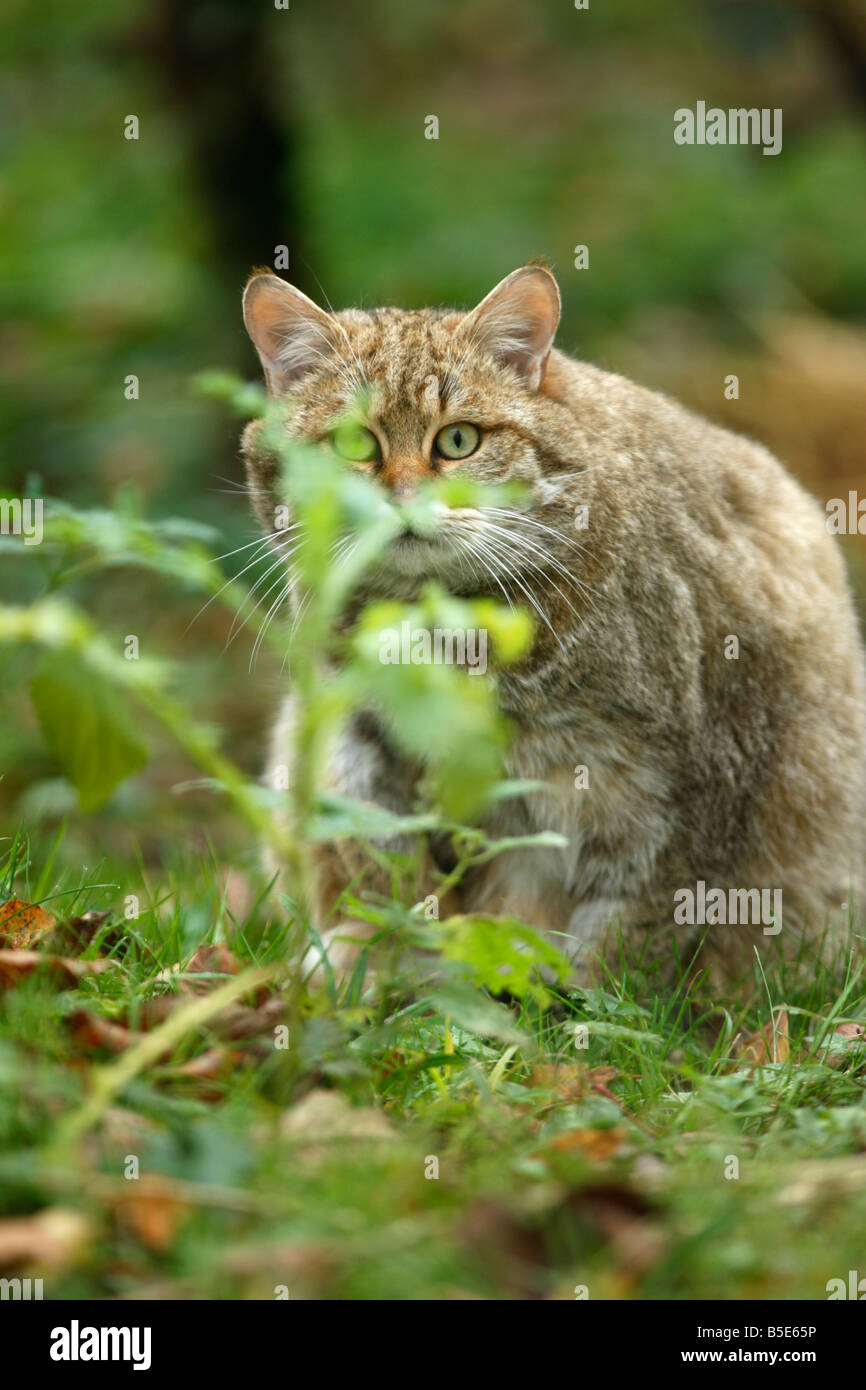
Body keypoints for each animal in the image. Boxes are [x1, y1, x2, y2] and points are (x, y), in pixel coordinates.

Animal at [239, 265, 866, 995]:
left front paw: (583, 1008)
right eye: (354, 443)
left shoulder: (687, 779)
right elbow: (386, 866)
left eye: (459, 441)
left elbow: (635, 925)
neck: (444, 621)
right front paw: (384, 968)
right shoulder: (363, 738)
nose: (403, 503)